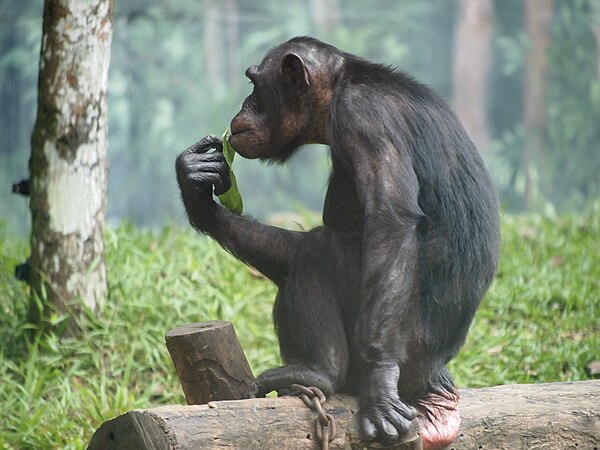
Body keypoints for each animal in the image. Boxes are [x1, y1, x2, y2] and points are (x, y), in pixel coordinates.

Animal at [176, 37, 500, 448]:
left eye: (254, 84)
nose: (243, 104)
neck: (342, 84)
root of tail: (429, 388)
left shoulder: (363, 118)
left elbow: (388, 220)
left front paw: (380, 383)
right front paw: (195, 185)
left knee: (318, 253)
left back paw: (321, 373)